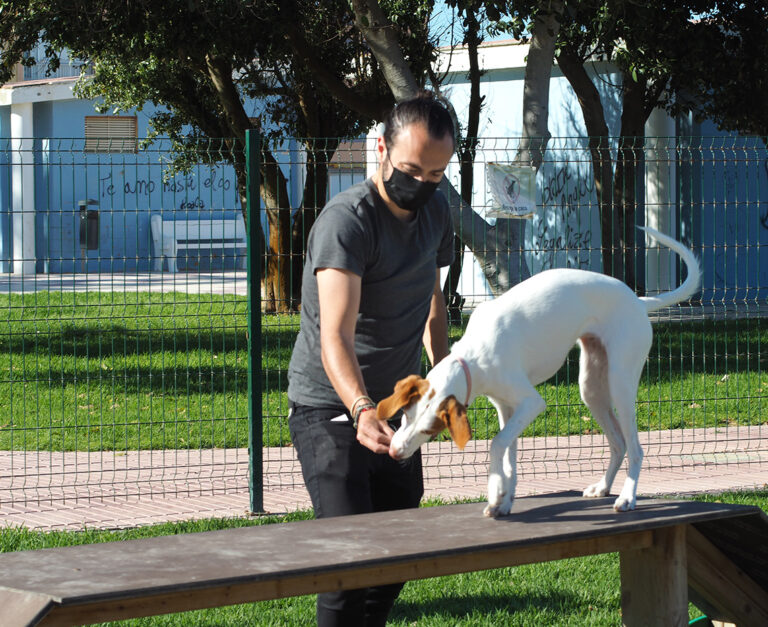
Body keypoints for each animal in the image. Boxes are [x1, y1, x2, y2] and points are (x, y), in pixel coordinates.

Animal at [376, 228, 700, 516]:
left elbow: (497, 443)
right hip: (591, 388)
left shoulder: (531, 403)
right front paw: (504, 500)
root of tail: (639, 300)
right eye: (405, 416)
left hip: (620, 383)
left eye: (429, 430)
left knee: (635, 448)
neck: (473, 357)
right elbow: (509, 456)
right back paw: (603, 487)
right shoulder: (507, 408)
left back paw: (627, 497)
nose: (393, 452)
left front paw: (495, 492)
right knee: (618, 443)